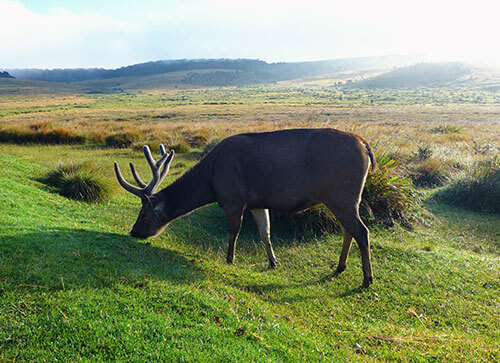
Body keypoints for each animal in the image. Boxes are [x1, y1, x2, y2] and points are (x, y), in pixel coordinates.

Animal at [113, 128, 376, 288]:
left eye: (143, 214)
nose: (133, 232)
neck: (210, 182)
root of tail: (366, 146)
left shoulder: (233, 198)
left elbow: (234, 232)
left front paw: (229, 259)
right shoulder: (258, 203)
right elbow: (265, 233)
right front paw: (273, 261)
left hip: (341, 195)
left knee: (362, 231)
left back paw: (367, 278)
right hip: (344, 198)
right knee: (349, 231)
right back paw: (340, 267)